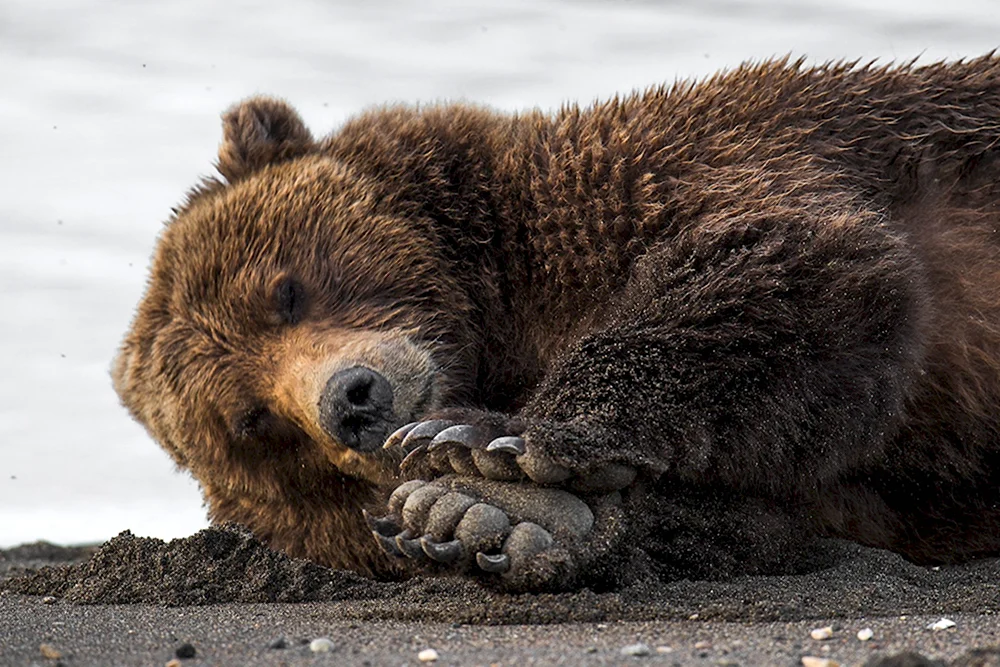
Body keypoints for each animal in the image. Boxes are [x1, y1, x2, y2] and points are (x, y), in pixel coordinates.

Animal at [111, 56, 1000, 588]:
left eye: (285, 290)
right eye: (252, 421)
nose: (353, 400)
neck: (501, 314)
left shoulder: (675, 168)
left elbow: (792, 258)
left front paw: (493, 440)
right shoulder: (867, 497)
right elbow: (761, 518)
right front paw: (487, 515)